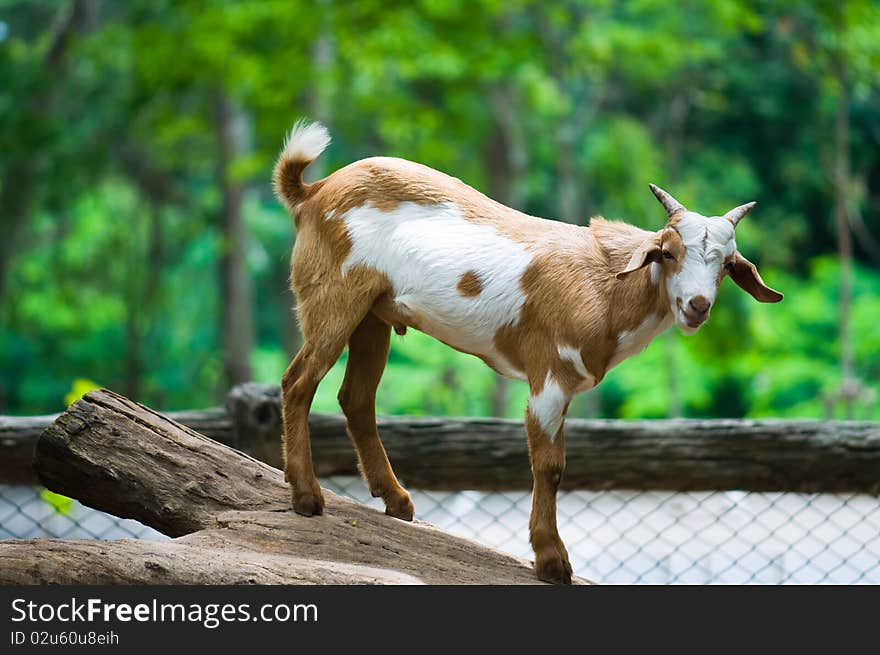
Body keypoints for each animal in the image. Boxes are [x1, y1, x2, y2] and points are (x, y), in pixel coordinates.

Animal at [270, 119, 784, 584]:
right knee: (299, 381)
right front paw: (552, 562)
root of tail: (312, 193)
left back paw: (396, 501)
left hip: (373, 315)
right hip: (333, 297)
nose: (697, 305)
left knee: (355, 398)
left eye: (726, 265)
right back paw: (307, 497)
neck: (606, 286)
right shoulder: (550, 375)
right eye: (670, 253)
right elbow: (550, 466)